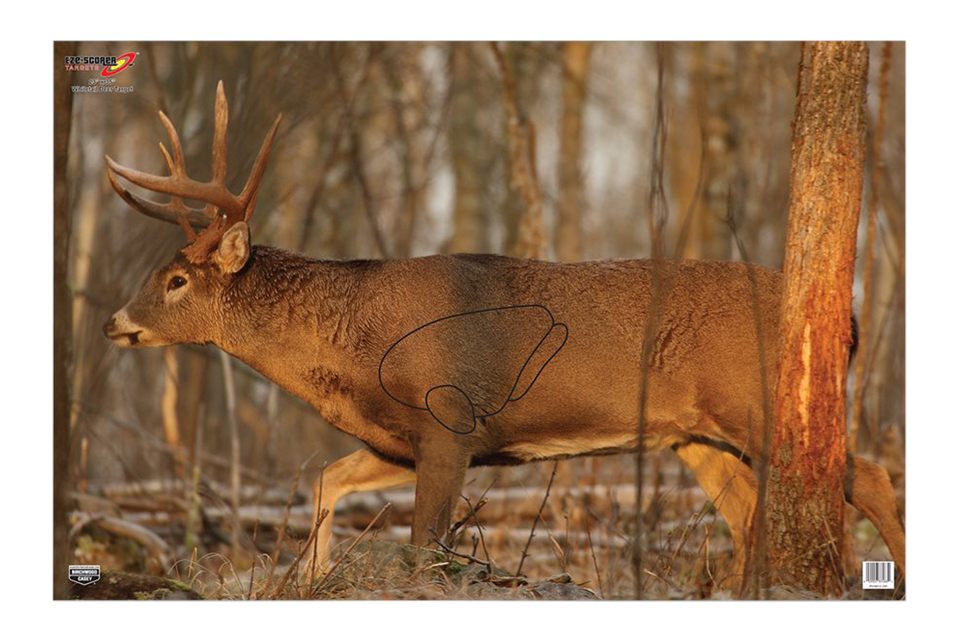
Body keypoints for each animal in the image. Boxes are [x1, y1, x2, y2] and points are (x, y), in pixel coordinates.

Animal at [102, 82, 905, 590]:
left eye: (177, 280)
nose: (114, 322)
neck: (354, 350)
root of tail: (849, 317)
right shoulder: (400, 439)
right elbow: (328, 480)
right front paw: (315, 578)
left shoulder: (450, 423)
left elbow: (426, 549)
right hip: (694, 434)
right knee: (747, 515)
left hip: (758, 404)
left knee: (869, 477)